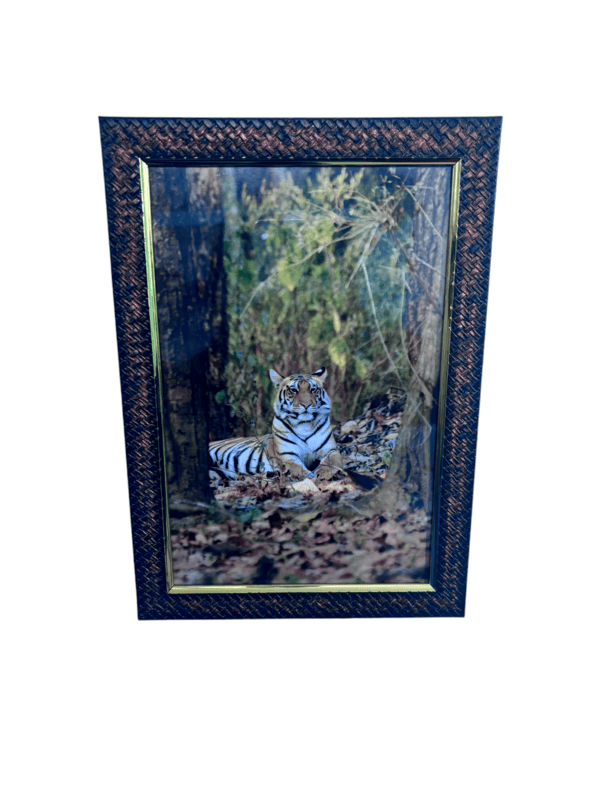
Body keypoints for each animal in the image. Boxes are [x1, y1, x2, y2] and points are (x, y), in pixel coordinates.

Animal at [209, 367, 344, 481]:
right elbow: (298, 469)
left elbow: (331, 462)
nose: (306, 405)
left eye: (313, 390)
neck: (304, 425)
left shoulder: (330, 450)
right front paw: (309, 476)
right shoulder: (287, 455)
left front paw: (323, 473)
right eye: (293, 390)